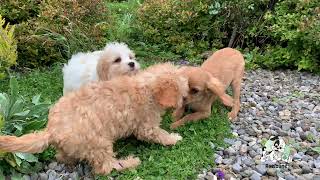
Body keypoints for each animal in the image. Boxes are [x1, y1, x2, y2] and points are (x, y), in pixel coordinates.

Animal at [0, 64, 188, 175]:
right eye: (182, 92)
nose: (185, 102)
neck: (145, 86)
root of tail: (52, 130)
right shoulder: (146, 125)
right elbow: (158, 134)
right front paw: (174, 138)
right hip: (98, 142)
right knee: (106, 167)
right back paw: (129, 162)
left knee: (63, 156)